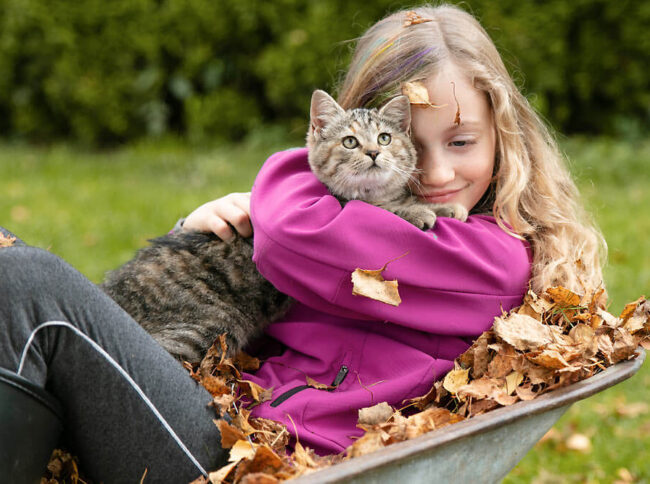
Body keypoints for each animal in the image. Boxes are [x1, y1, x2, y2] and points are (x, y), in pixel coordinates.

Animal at [101, 90, 464, 364]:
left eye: (385, 138)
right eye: (349, 142)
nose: (374, 152)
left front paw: (446, 206)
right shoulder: (345, 206)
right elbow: (385, 210)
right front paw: (419, 212)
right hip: (206, 325)